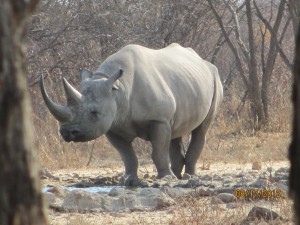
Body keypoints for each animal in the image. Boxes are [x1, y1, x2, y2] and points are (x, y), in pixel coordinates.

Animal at [39, 43, 223, 185]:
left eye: (93, 112)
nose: (67, 133)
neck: (117, 89)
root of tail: (202, 61)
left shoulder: (158, 119)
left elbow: (158, 150)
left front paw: (164, 179)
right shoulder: (112, 124)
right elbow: (127, 155)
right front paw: (129, 181)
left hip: (214, 77)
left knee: (201, 129)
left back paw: (187, 177)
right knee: (176, 130)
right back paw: (177, 176)